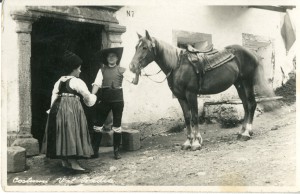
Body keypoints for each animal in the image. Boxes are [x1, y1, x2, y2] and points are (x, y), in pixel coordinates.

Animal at [129, 30, 276, 152]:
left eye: (145, 47)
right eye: (136, 47)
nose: (132, 66)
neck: (177, 65)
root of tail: (252, 53)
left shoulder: (191, 94)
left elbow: (194, 117)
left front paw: (196, 143)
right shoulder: (180, 97)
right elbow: (187, 117)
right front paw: (188, 142)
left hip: (247, 82)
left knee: (252, 104)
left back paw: (247, 133)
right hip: (239, 84)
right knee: (245, 106)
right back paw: (241, 132)